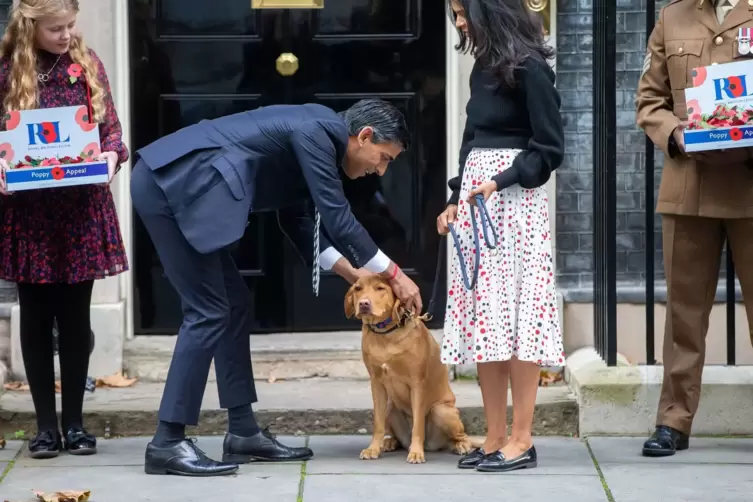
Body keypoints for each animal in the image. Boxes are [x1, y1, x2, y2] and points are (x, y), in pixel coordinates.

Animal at [344, 274, 478, 462]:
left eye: (380, 288)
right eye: (357, 289)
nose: (363, 303)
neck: (385, 333)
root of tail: (431, 445)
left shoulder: (417, 384)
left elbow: (418, 426)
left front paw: (415, 452)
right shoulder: (376, 384)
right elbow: (377, 424)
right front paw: (373, 449)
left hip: (441, 411)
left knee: (459, 436)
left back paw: (460, 445)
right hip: (390, 407)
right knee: (396, 434)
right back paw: (390, 442)